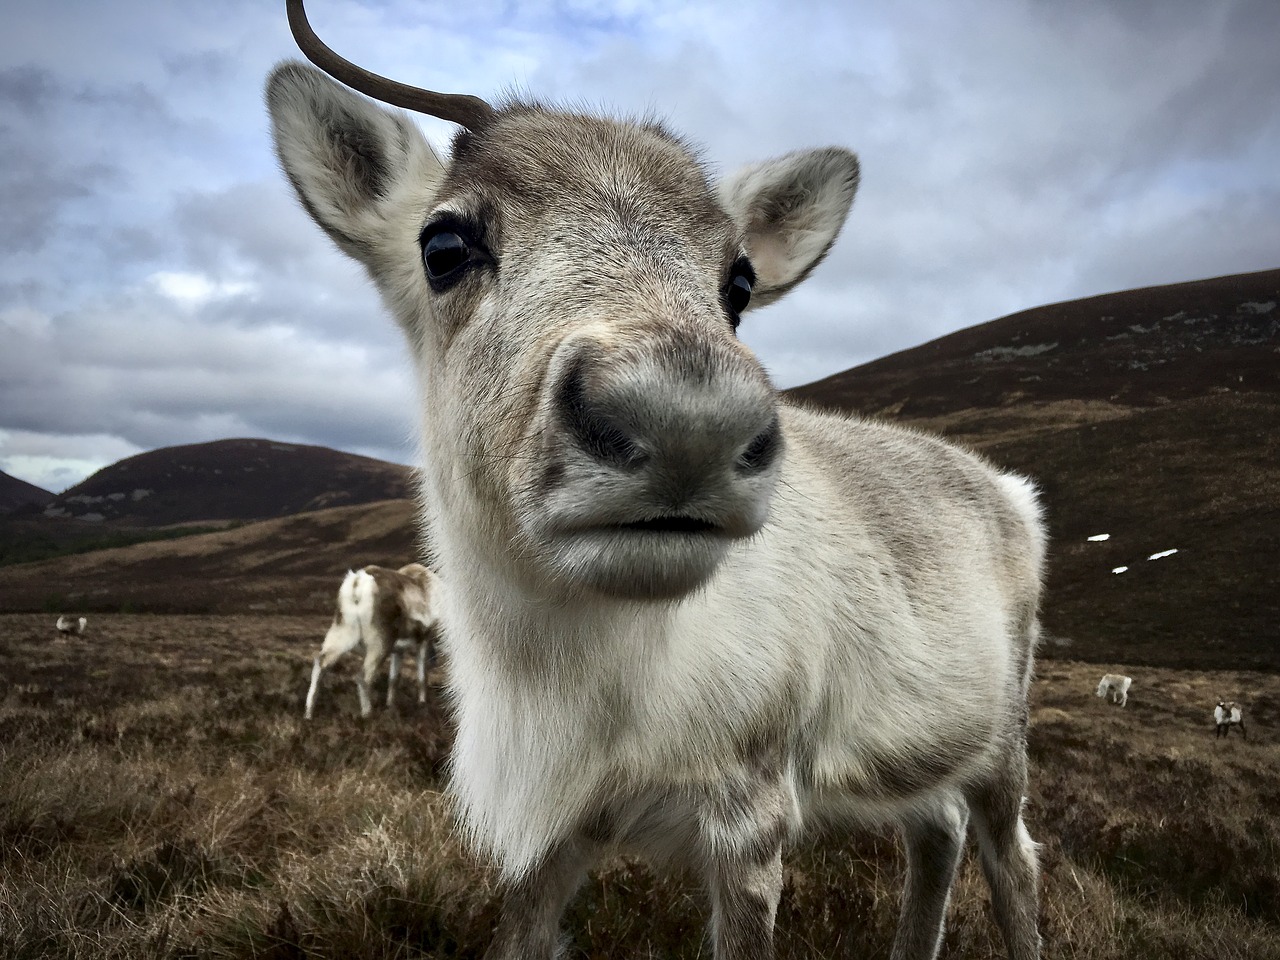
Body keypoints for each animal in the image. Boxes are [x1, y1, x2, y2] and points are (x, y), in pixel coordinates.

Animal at [302, 563, 442, 721]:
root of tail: (357, 582)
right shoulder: (423, 641)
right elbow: (422, 677)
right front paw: (422, 704)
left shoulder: (397, 650)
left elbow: (393, 679)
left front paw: (390, 706)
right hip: (379, 645)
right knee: (362, 677)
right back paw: (368, 716)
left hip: (342, 635)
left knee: (320, 663)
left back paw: (308, 714)